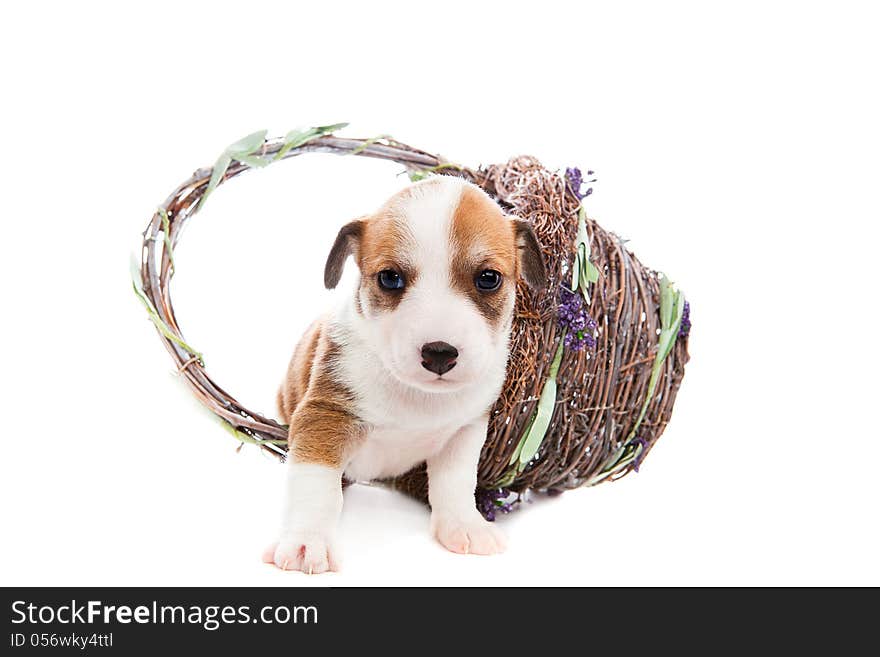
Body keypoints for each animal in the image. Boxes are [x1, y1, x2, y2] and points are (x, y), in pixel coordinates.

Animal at [264, 177, 548, 572]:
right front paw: (307, 541)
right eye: (390, 278)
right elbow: (315, 484)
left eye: (489, 278)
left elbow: (455, 481)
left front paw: (464, 524)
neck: (417, 396)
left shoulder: (465, 430)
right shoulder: (324, 417)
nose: (440, 353)